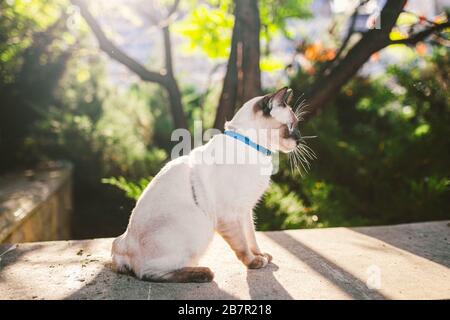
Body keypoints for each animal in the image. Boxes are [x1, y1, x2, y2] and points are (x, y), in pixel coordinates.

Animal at [111, 87, 302, 282]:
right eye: (291, 126)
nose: (299, 140)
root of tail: (122, 247)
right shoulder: (230, 214)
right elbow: (242, 245)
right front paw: (254, 262)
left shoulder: (245, 210)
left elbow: (252, 237)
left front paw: (261, 255)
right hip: (200, 227)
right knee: (149, 273)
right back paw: (204, 273)